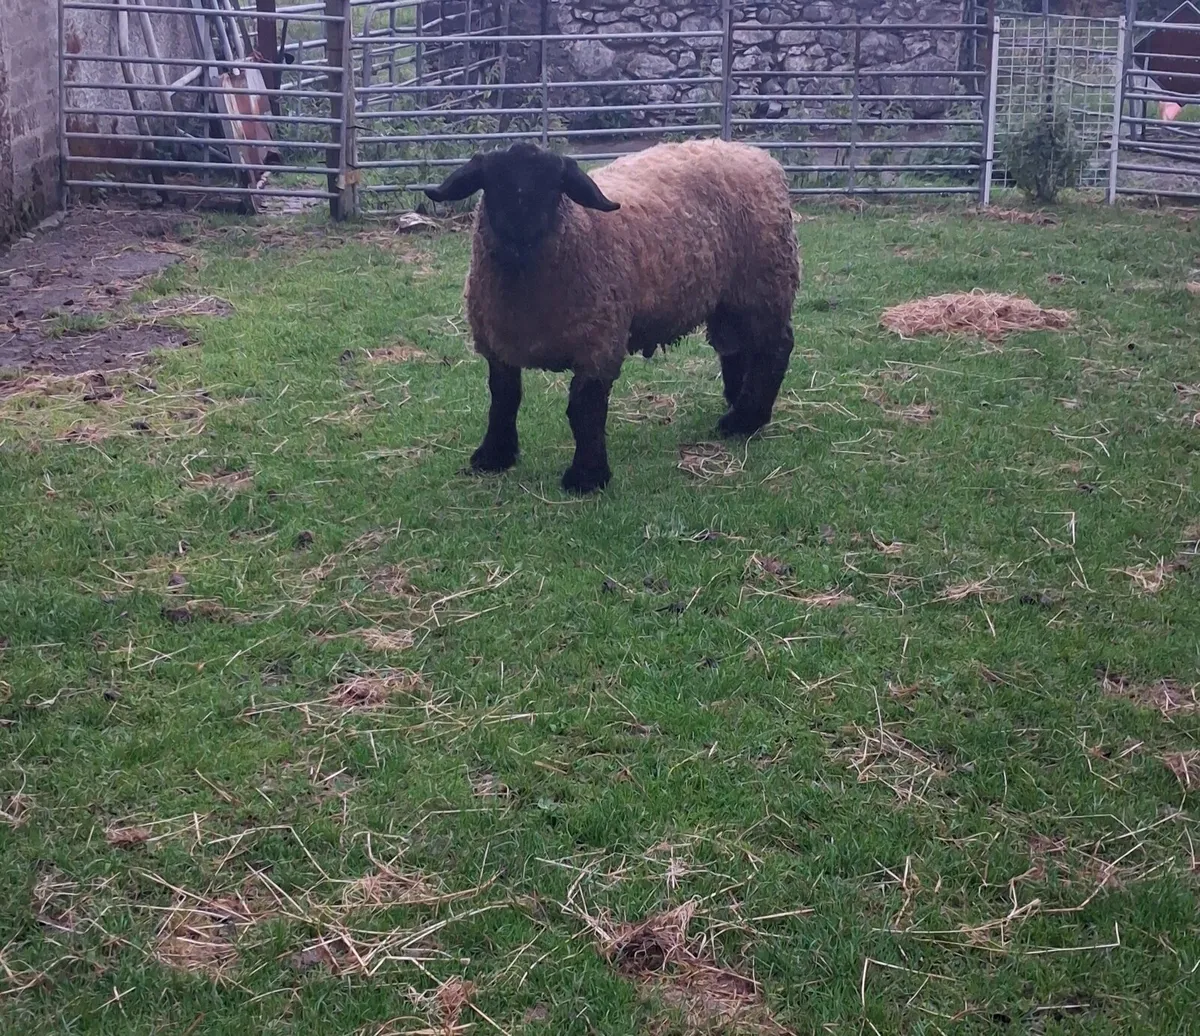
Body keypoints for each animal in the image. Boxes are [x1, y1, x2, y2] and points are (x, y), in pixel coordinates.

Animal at [424, 138, 801, 494]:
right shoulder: (498, 345)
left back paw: (745, 419)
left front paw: (586, 477)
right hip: (730, 297)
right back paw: (738, 406)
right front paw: (493, 456)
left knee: (774, 348)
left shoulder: (599, 344)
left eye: (554, 187)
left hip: (765, 284)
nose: (521, 236)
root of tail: (756, 155)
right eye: (493, 184)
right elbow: (503, 399)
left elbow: (584, 410)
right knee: (736, 346)